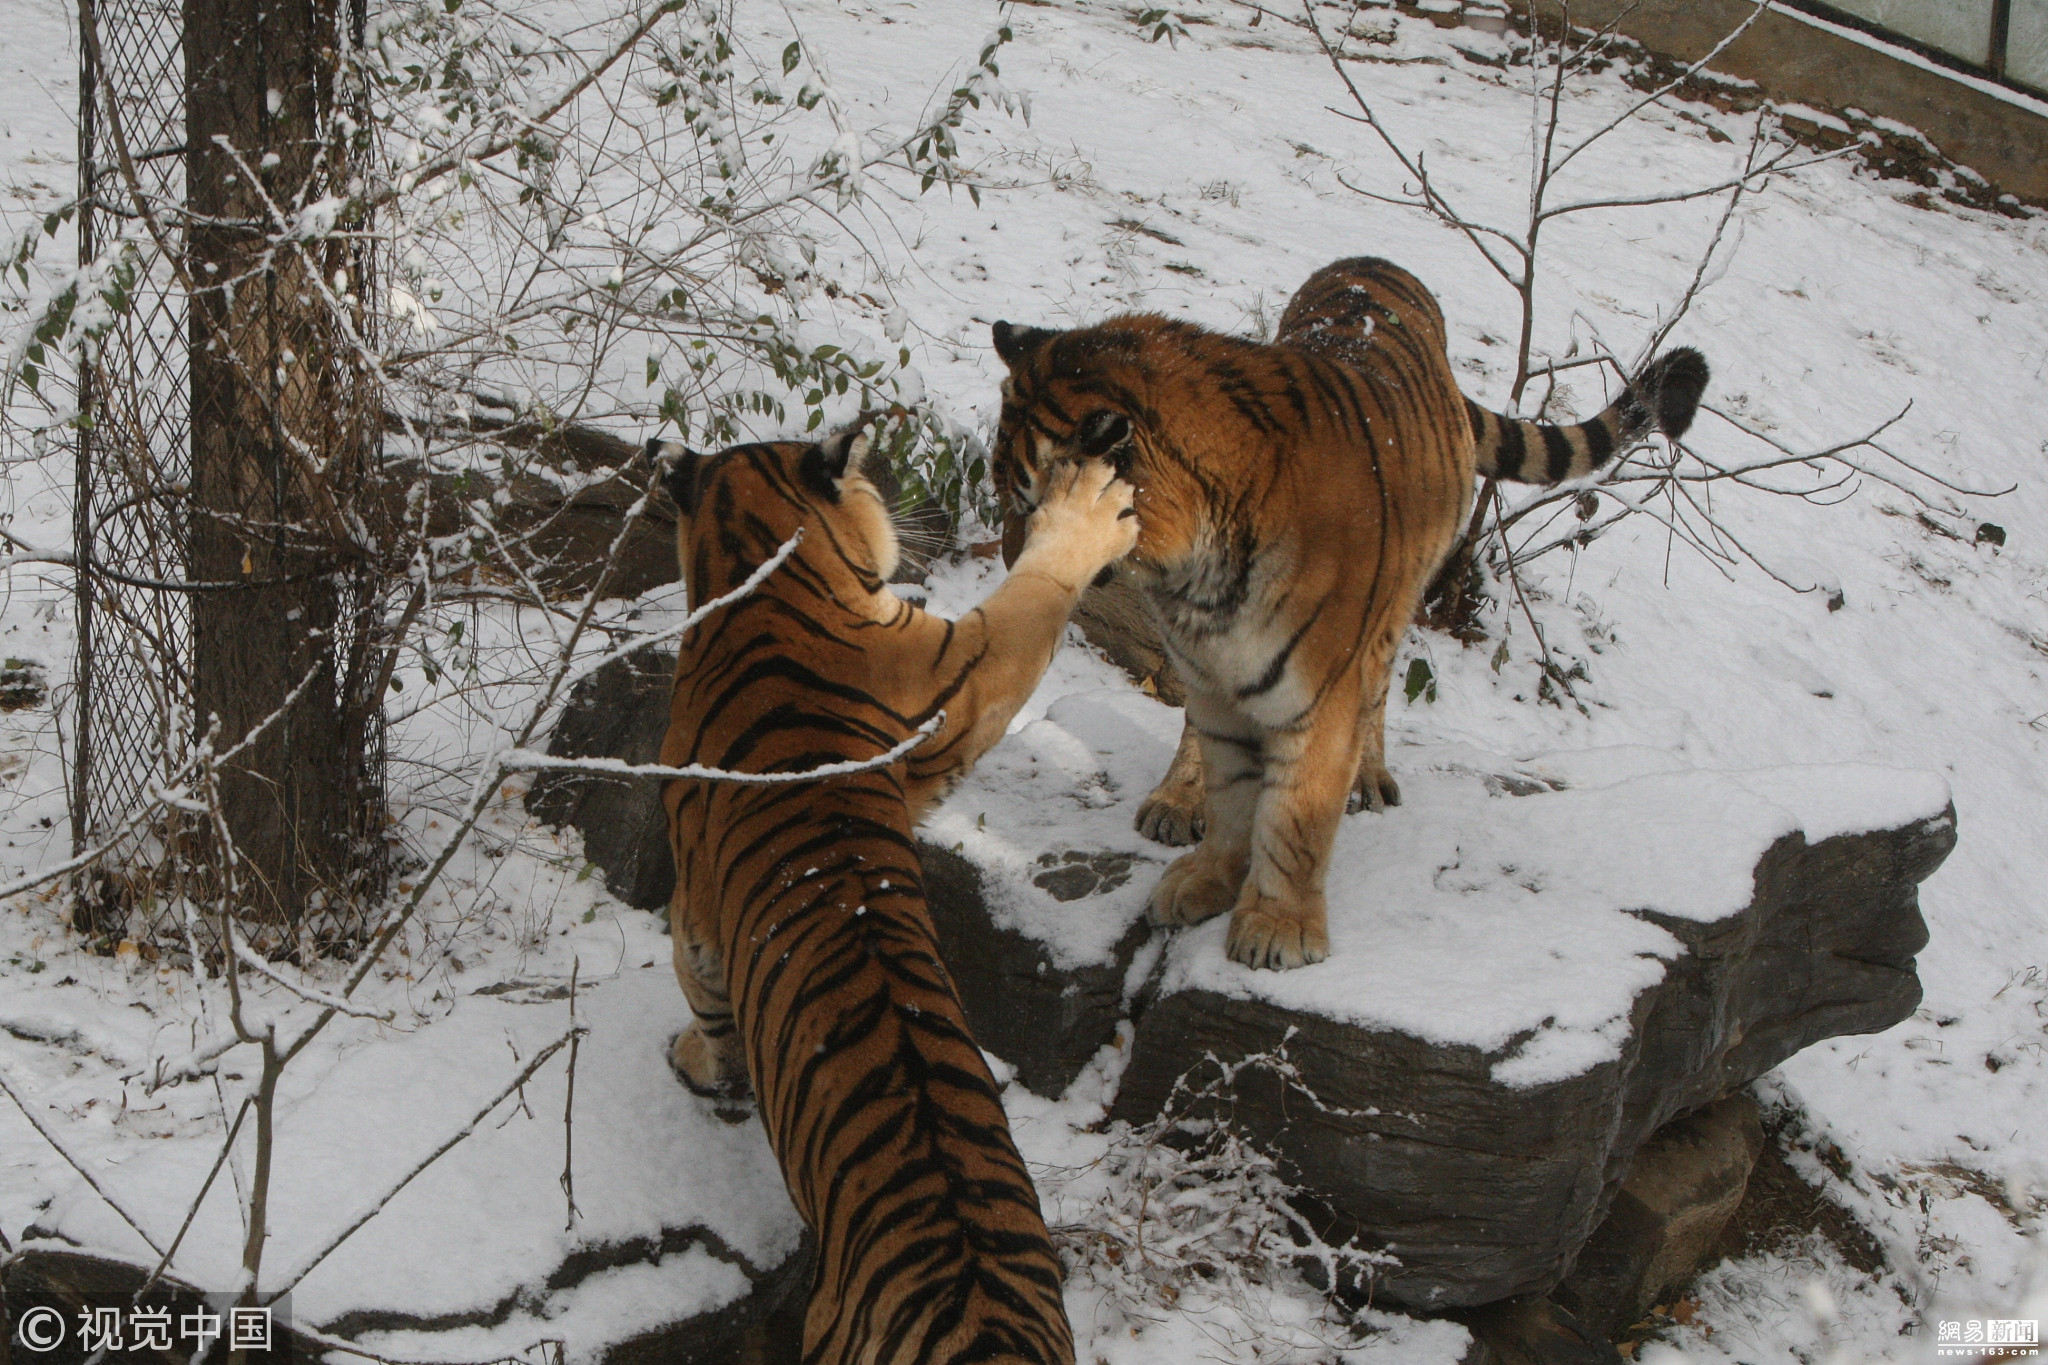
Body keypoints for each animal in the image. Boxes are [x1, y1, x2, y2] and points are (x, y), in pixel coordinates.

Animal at [655, 419, 1138, 1365]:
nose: (910, 518)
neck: (756, 573)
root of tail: (985, 1328)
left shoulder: (694, 904)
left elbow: (702, 988)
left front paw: (696, 1060)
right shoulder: (956, 690)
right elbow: (1028, 608)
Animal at [995, 255, 1712, 970]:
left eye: (1031, 505)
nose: (1009, 558)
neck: (1197, 569)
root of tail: (1373, 263)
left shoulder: (1318, 693)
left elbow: (1293, 819)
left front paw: (1277, 929)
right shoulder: (1214, 684)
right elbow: (1230, 795)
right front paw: (1208, 878)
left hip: (1396, 608)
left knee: (1379, 690)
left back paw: (1369, 776)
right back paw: (1176, 800)